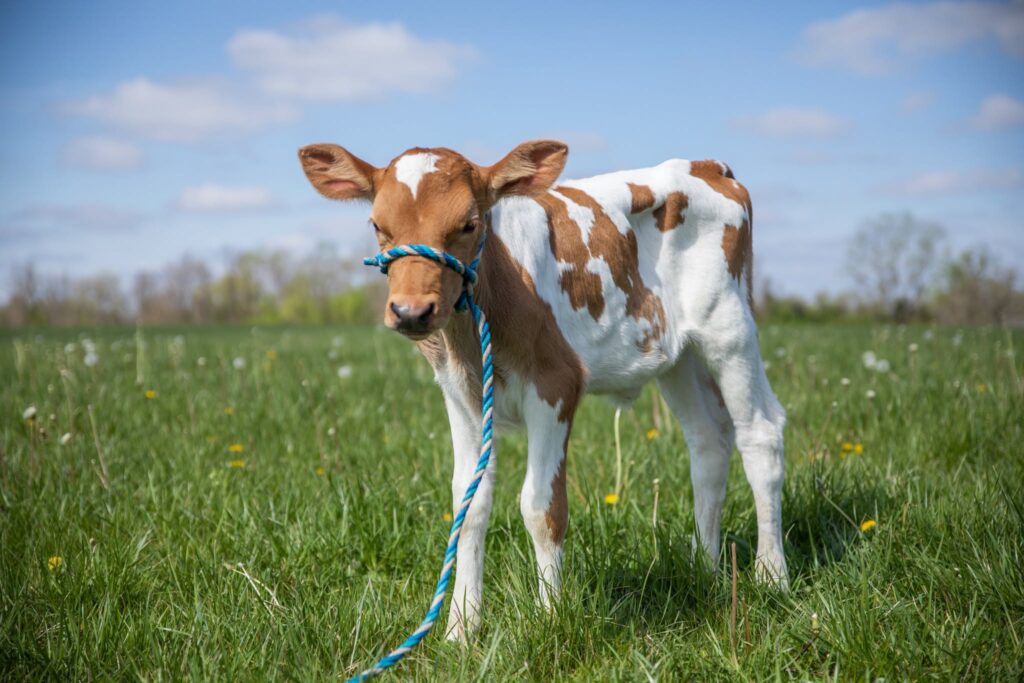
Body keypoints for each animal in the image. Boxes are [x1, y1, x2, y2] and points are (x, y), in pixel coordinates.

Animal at [298, 140, 788, 641]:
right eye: (378, 225)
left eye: (469, 223)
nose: (411, 311)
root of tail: (705, 165)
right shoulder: (460, 395)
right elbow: (468, 504)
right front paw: (461, 629)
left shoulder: (556, 384)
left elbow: (541, 507)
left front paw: (551, 616)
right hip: (678, 355)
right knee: (708, 441)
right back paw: (705, 568)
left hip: (729, 329)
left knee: (760, 434)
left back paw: (771, 575)